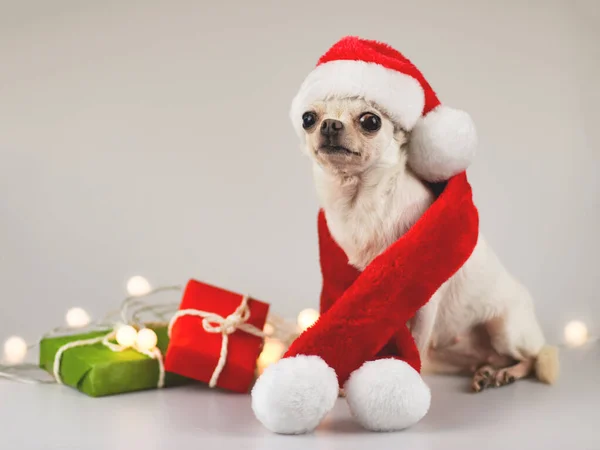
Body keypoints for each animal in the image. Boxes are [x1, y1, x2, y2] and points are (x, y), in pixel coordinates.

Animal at [300, 97, 556, 390]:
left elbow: (415, 343)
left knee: (535, 357)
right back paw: (486, 371)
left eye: (371, 121)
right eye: (308, 118)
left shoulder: (423, 305)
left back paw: (508, 373)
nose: (330, 124)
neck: (359, 203)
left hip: (506, 329)